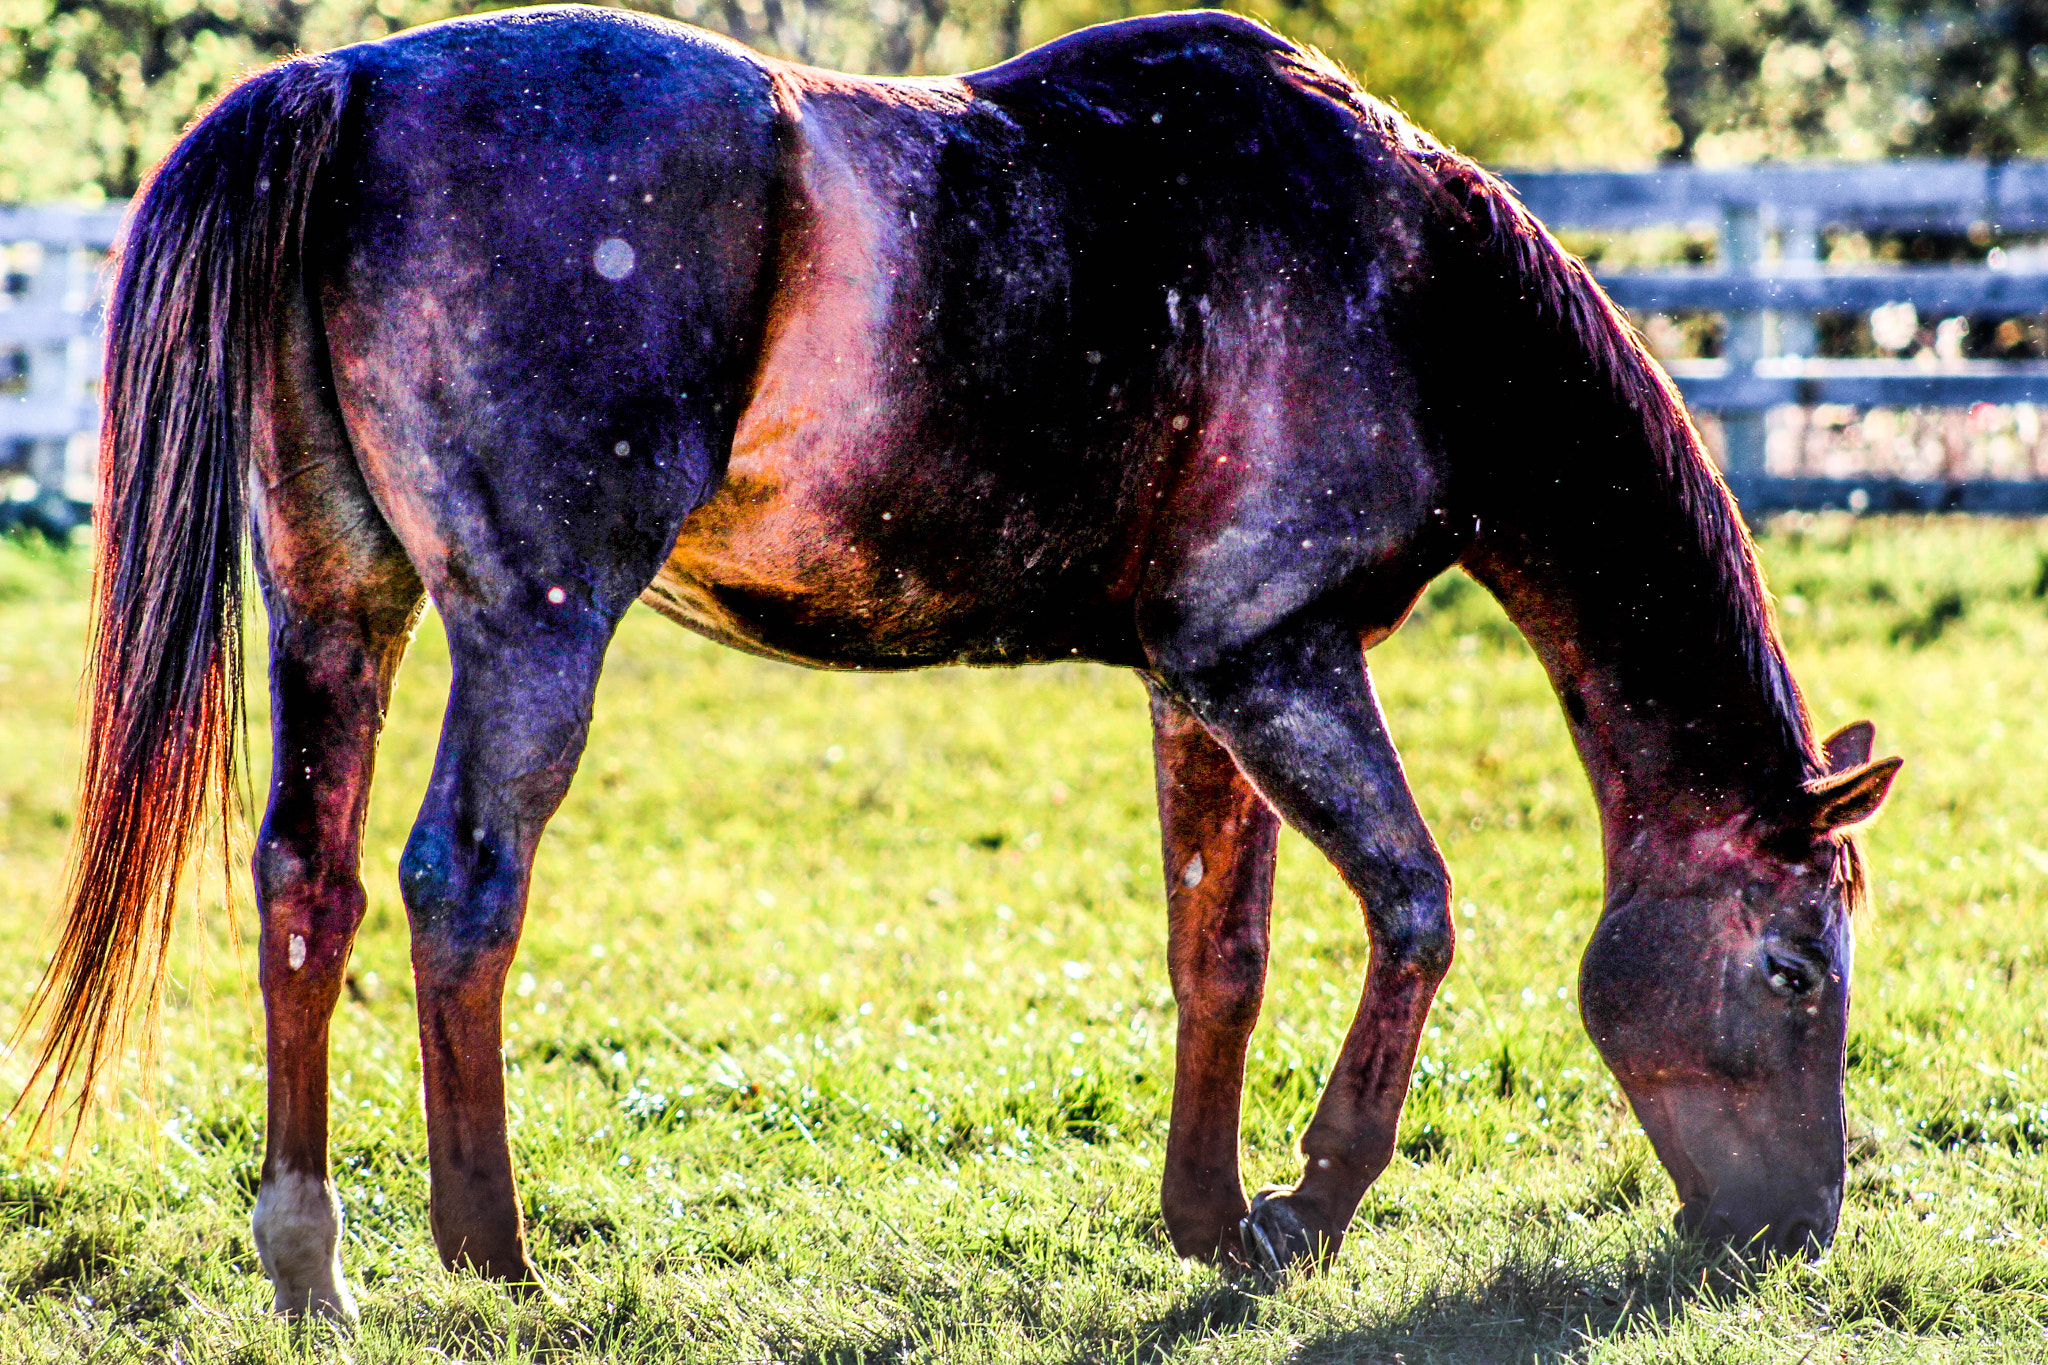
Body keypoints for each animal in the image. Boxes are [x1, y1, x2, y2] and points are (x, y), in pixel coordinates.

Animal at [26, 5, 1900, 1319]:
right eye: (1793, 974)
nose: (1795, 1234)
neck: (1406, 295)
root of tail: (344, 81)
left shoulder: (1201, 687)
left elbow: (1219, 947)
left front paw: (1207, 1219)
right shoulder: (1276, 664)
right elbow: (1412, 908)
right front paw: (1306, 1206)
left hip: (337, 599)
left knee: (309, 879)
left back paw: (311, 1256)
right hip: (531, 621)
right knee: (460, 884)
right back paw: (494, 1254)